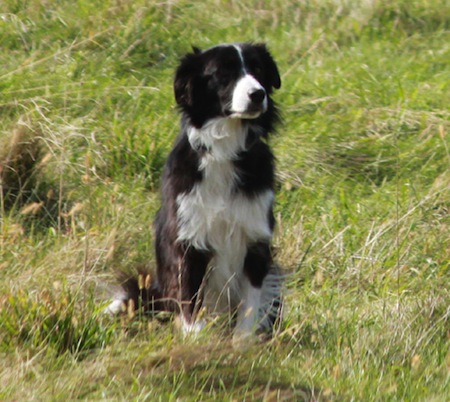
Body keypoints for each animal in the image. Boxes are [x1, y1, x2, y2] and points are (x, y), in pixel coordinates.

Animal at [107, 42, 282, 340]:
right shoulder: (189, 236)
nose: (258, 94)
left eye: (258, 69)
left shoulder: (255, 236)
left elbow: (250, 302)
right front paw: (196, 338)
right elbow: (190, 296)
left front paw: (243, 342)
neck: (225, 150)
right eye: (223, 73)